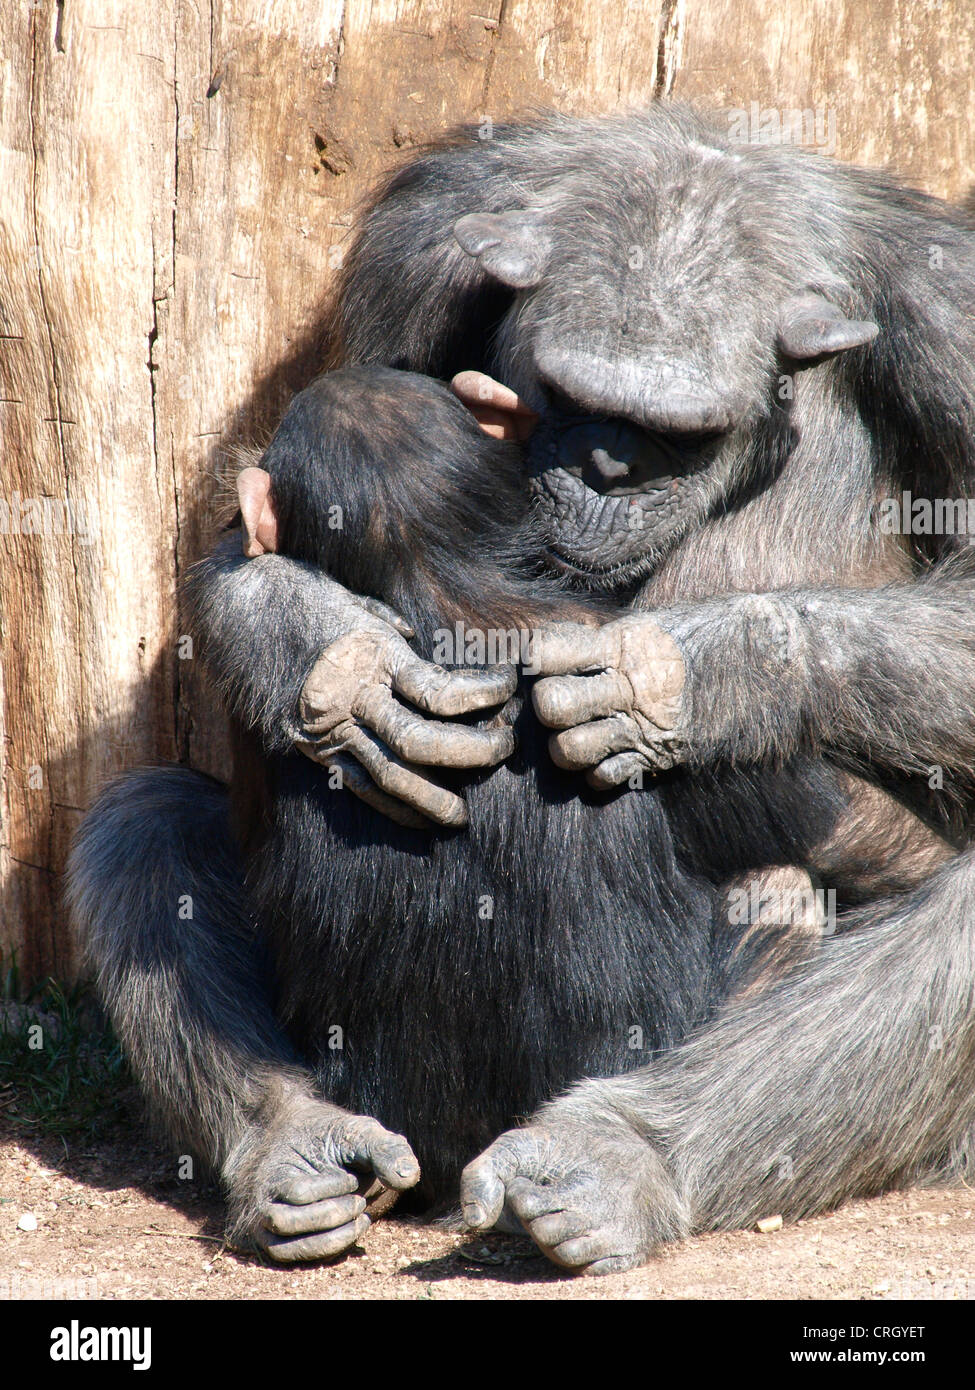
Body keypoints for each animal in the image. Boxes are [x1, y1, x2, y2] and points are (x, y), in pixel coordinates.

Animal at [68, 102, 973, 1273]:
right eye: (567, 398)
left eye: (680, 436)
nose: (604, 473)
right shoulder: (414, 252)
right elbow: (253, 508)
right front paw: (328, 654)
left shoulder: (950, 320)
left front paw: (687, 675)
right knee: (145, 811)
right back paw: (294, 1144)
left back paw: (612, 1160)